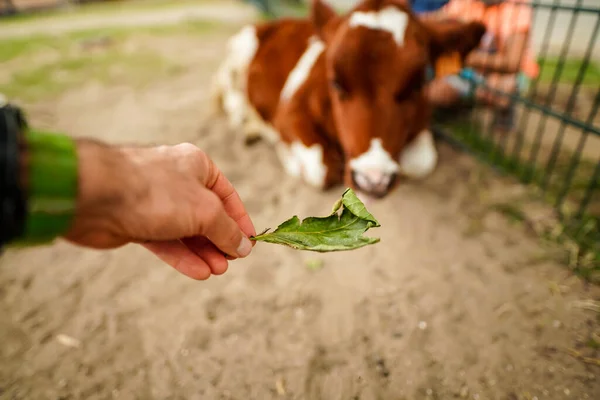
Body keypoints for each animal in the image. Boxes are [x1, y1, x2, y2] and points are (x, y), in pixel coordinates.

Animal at [213, 0, 486, 199]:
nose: (372, 180)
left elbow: (421, 162)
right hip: (240, 50)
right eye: (335, 82)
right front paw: (287, 155)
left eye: (417, 84)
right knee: (232, 97)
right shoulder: (288, 113)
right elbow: (321, 169)